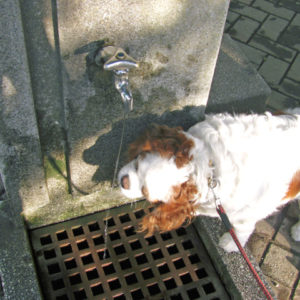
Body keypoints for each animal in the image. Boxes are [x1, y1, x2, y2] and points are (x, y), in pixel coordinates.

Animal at [117, 109, 300, 252]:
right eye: (137, 165)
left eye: (145, 192)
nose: (123, 182)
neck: (208, 167)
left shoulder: (247, 211)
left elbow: (243, 228)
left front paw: (232, 243)